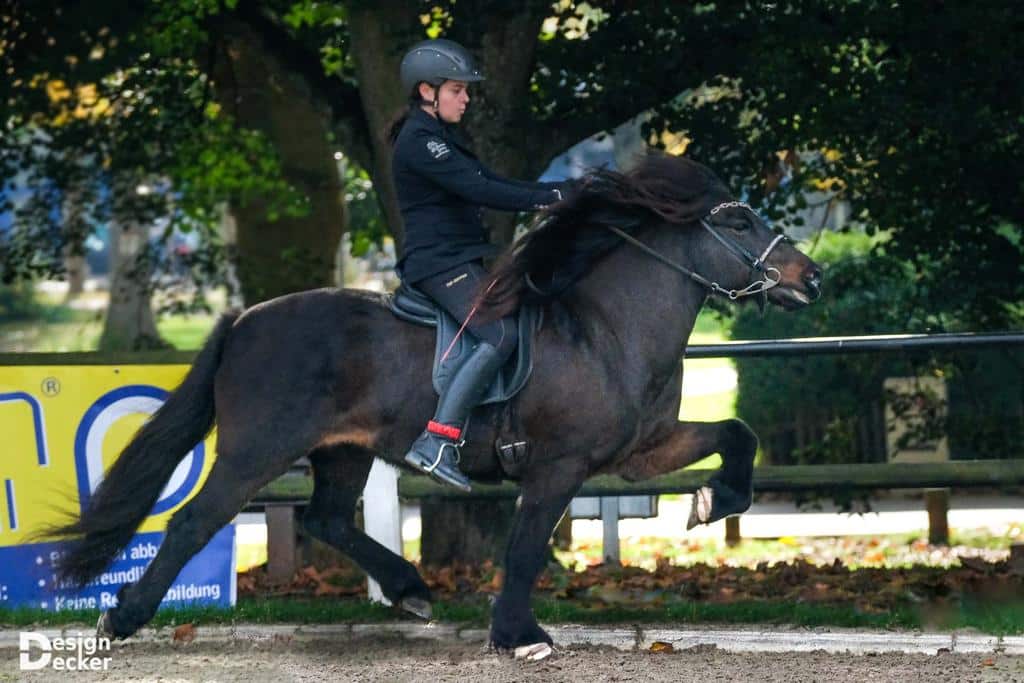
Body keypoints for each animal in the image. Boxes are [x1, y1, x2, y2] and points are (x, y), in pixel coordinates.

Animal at [54, 153, 823, 651]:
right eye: (740, 222)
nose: (811, 278)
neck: (606, 327)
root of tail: (243, 319)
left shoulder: (640, 451)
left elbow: (738, 432)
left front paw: (712, 501)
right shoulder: (559, 465)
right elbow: (524, 547)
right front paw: (517, 635)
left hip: (342, 451)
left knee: (326, 518)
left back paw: (409, 586)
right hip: (257, 450)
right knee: (192, 523)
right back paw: (121, 620)